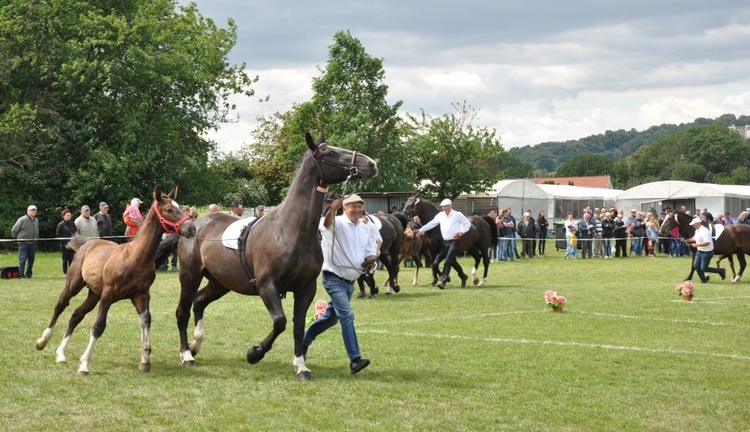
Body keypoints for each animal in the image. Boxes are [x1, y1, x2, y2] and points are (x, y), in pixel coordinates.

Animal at [35, 186, 195, 374]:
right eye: (169, 209)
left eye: (181, 207)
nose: (191, 228)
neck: (135, 258)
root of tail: (85, 244)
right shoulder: (108, 295)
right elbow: (98, 326)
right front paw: (84, 365)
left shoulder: (141, 295)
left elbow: (146, 320)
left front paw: (145, 361)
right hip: (74, 285)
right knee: (61, 305)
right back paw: (42, 341)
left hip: (94, 293)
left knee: (76, 315)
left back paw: (61, 354)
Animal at [175, 133, 376, 380]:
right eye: (330, 152)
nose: (371, 164)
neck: (290, 231)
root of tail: (195, 224)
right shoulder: (267, 286)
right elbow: (280, 322)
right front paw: (254, 353)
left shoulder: (306, 289)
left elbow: (298, 326)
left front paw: (301, 367)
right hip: (190, 277)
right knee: (183, 311)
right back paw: (187, 355)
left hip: (221, 282)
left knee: (199, 302)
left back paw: (195, 345)